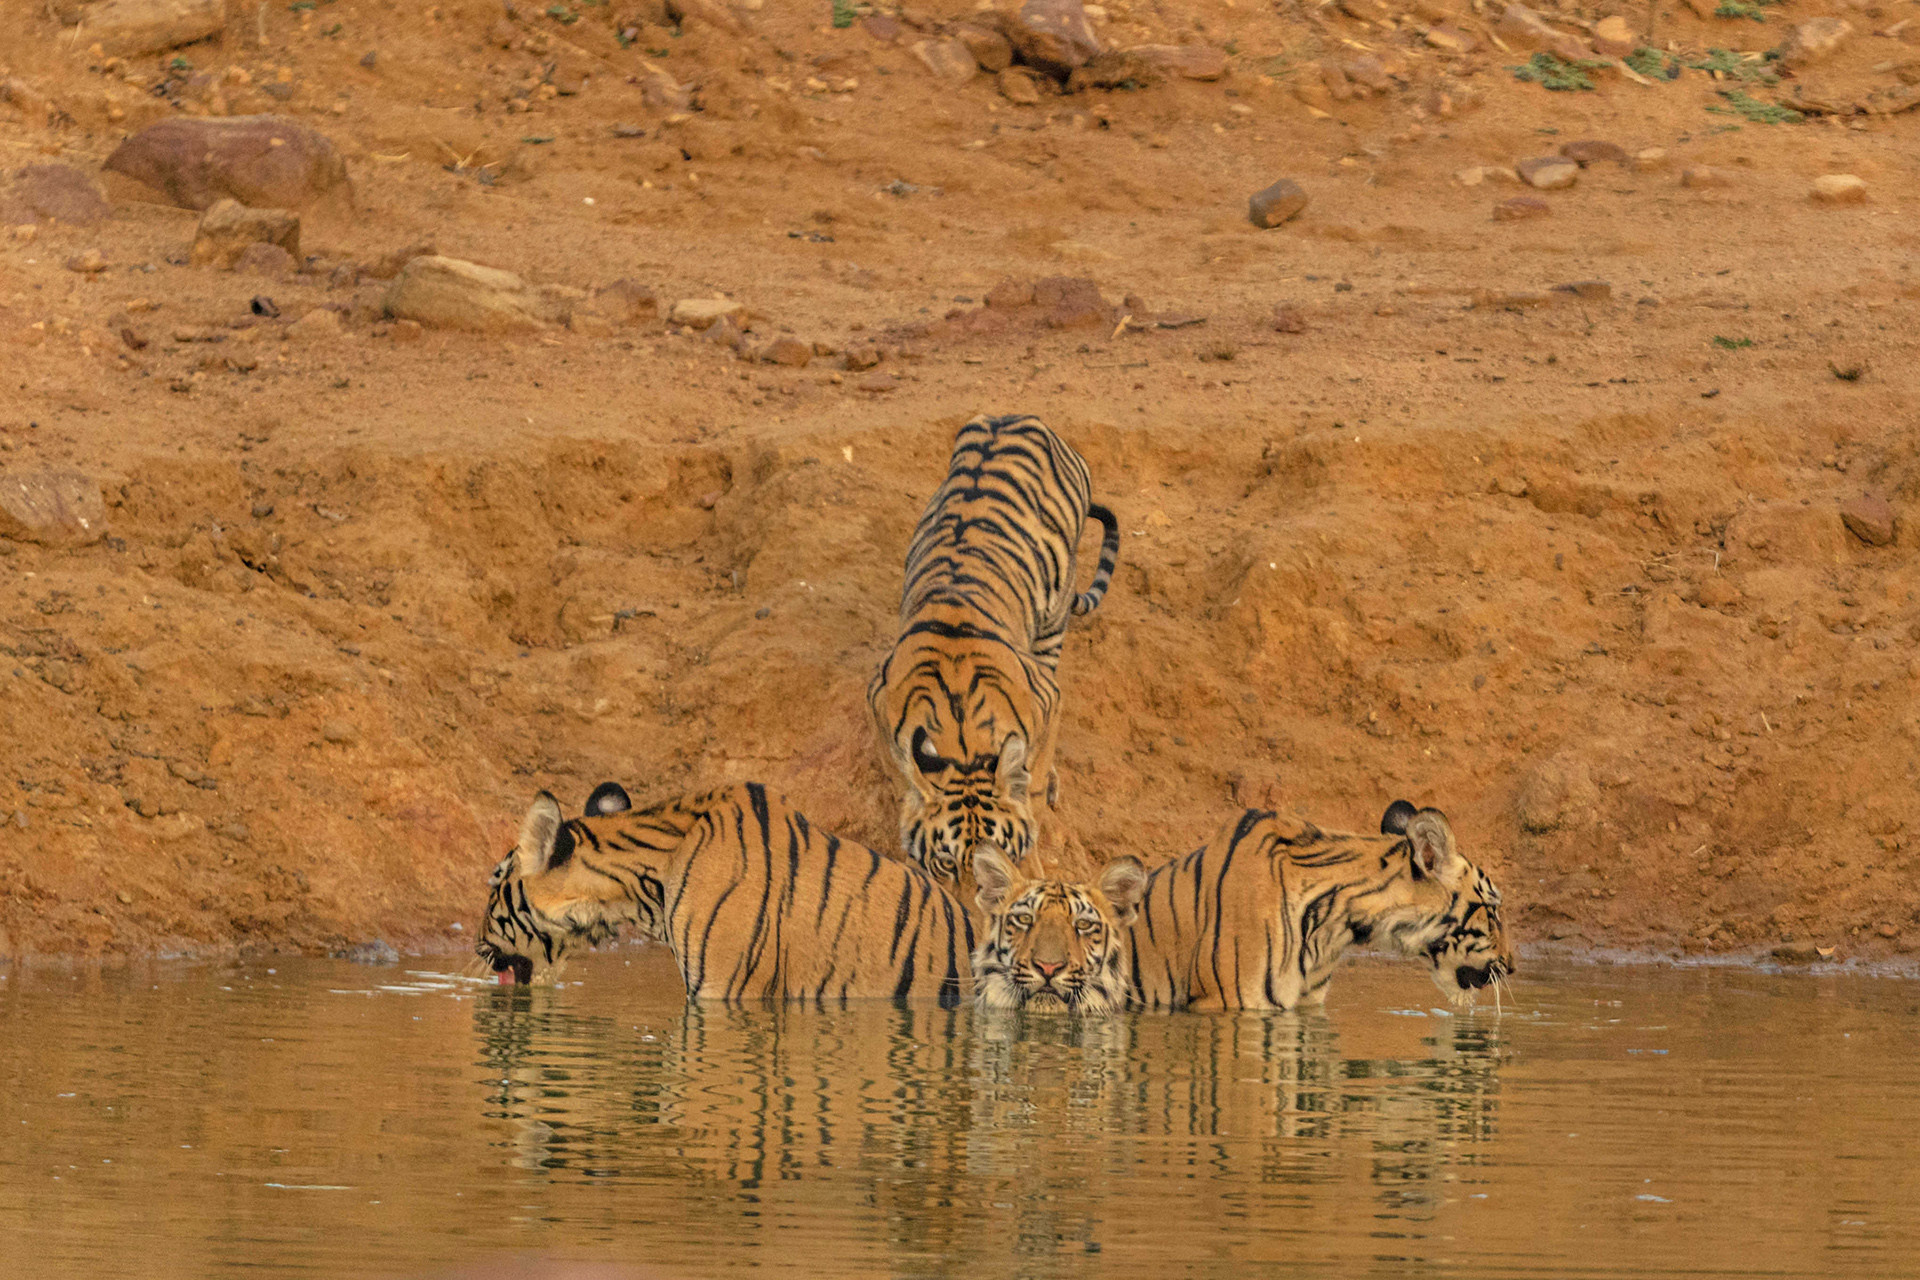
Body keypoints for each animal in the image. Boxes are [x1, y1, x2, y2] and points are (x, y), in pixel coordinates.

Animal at [868, 413, 1121, 902]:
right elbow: (900, 780)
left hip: (1053, 622)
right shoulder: (878, 700)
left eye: (1001, 855)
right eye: (947, 863)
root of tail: (1020, 417)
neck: (961, 734)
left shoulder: (1049, 698)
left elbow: (1031, 792)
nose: (977, 913)